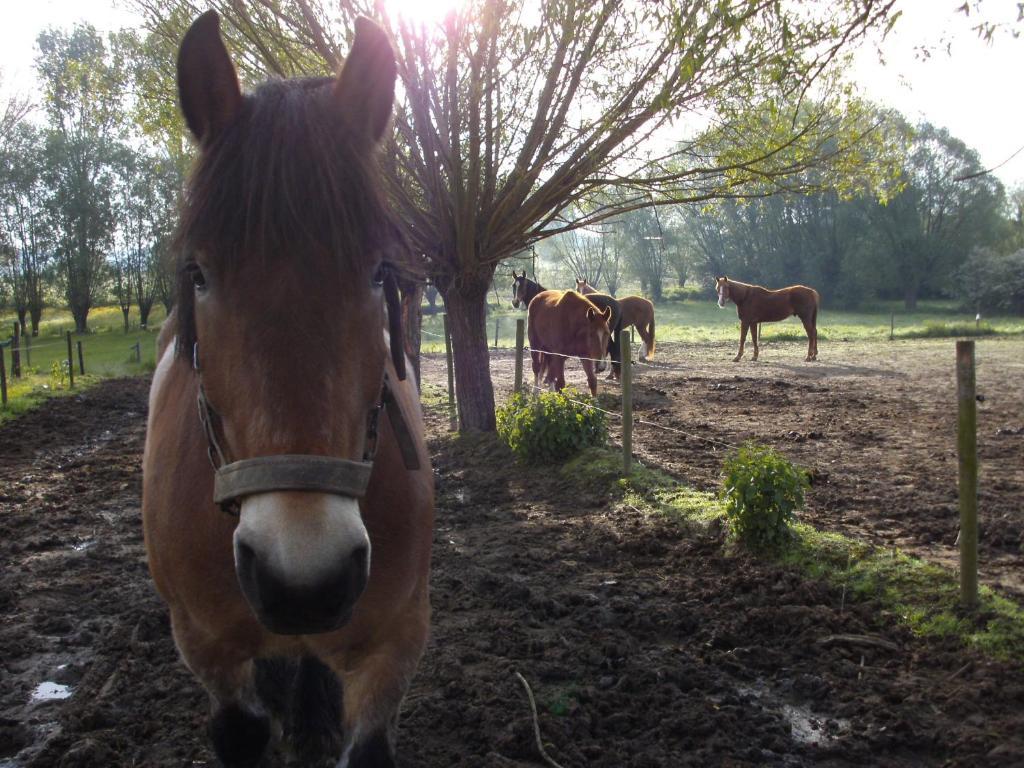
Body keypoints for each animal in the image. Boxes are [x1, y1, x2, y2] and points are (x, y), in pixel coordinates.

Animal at [144, 13, 432, 768]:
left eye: (379, 271)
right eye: (198, 273)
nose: (304, 580)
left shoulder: (394, 644)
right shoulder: (206, 647)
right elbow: (242, 727)